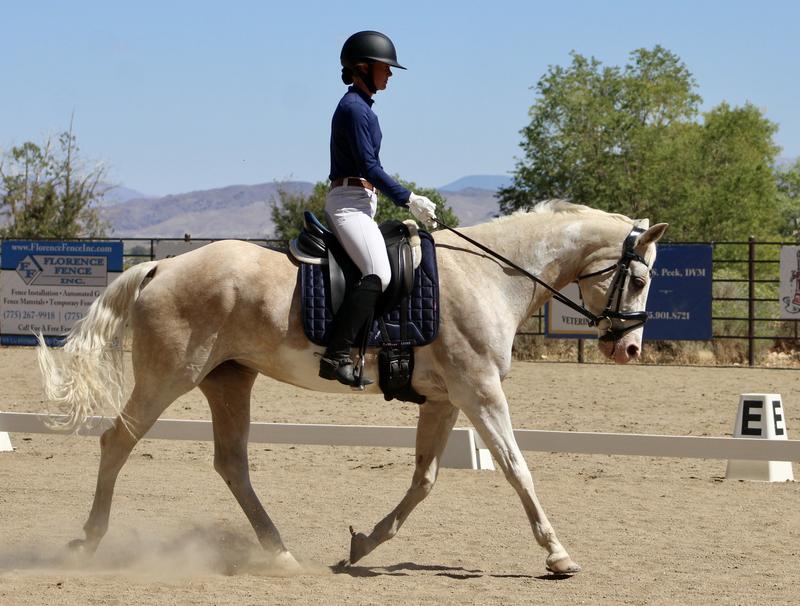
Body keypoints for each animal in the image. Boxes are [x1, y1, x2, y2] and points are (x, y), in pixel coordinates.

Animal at [37, 200, 667, 575]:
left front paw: (363, 544)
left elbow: (424, 480)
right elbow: (516, 468)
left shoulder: (445, 400)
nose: (629, 350)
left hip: (229, 380)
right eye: (638, 278)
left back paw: (281, 553)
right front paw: (558, 555)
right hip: (170, 376)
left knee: (231, 463)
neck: (491, 275)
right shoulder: (480, 391)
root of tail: (160, 267)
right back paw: (88, 543)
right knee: (117, 442)